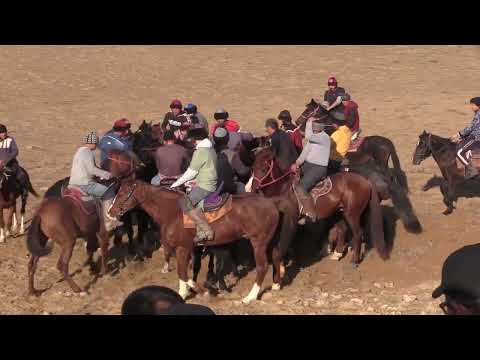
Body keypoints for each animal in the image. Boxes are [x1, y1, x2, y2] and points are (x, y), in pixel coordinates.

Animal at [108, 167, 284, 304]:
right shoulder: (189, 249)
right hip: (270, 242)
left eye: (123, 194)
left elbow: (182, 273)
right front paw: (196, 291)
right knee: (276, 258)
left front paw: (187, 293)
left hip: (259, 243)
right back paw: (276, 285)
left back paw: (249, 297)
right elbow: (188, 274)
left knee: (262, 267)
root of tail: (271, 204)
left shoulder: (182, 248)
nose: (110, 212)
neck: (172, 211)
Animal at [251, 148, 390, 266]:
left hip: (352, 214)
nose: (253, 189)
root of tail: (366, 181)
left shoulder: (291, 219)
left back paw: (354, 261)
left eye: (263, 168)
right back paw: (337, 253)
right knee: (344, 229)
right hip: (343, 212)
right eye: (253, 168)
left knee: (357, 233)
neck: (284, 188)